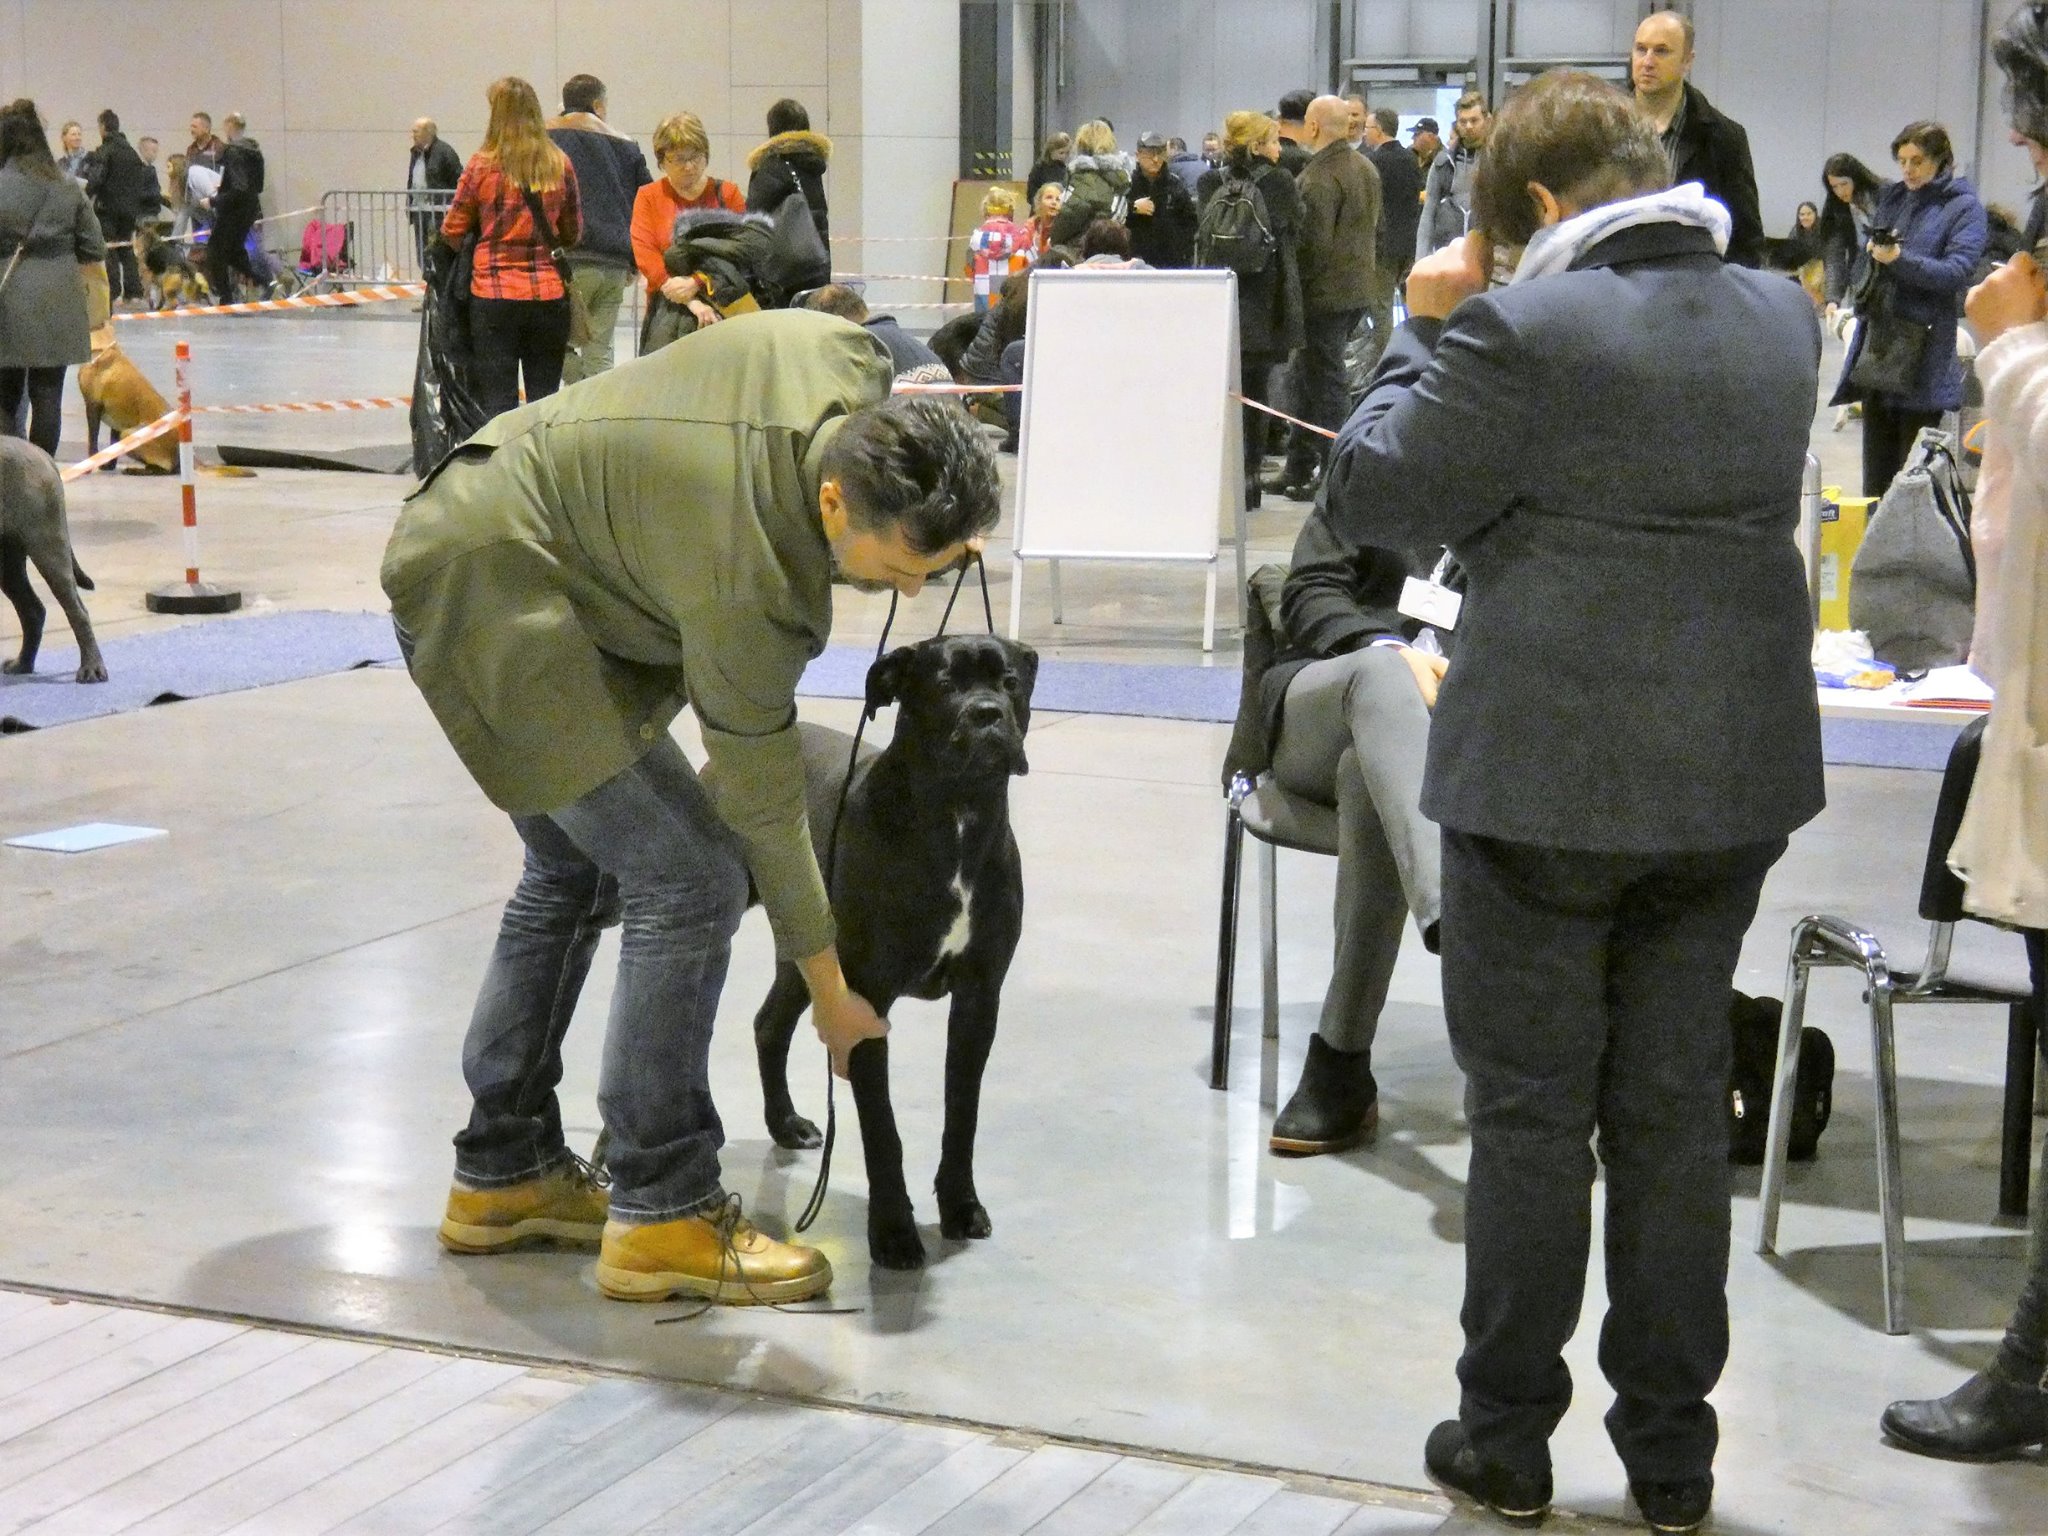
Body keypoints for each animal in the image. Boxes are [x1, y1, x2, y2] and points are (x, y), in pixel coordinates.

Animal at [1, 436, 107, 684]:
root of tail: (42, 454)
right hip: (8, 562)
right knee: (32, 610)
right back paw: (22, 664)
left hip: (48, 547)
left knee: (78, 611)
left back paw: (91, 668)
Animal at [75, 333, 177, 479]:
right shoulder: (117, 419)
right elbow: (113, 448)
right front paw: (109, 466)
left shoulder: (92, 406)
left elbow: (92, 443)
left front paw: (87, 468)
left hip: (127, 434)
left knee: (162, 469)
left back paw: (135, 470)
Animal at [757, 638, 1040, 1277]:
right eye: (943, 683)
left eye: (1009, 681)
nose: (987, 714)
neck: (957, 815)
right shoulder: (865, 999)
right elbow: (882, 1130)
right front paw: (892, 1233)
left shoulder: (979, 996)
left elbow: (962, 1110)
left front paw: (961, 1205)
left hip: (805, 952)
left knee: (769, 1025)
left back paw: (786, 1124)